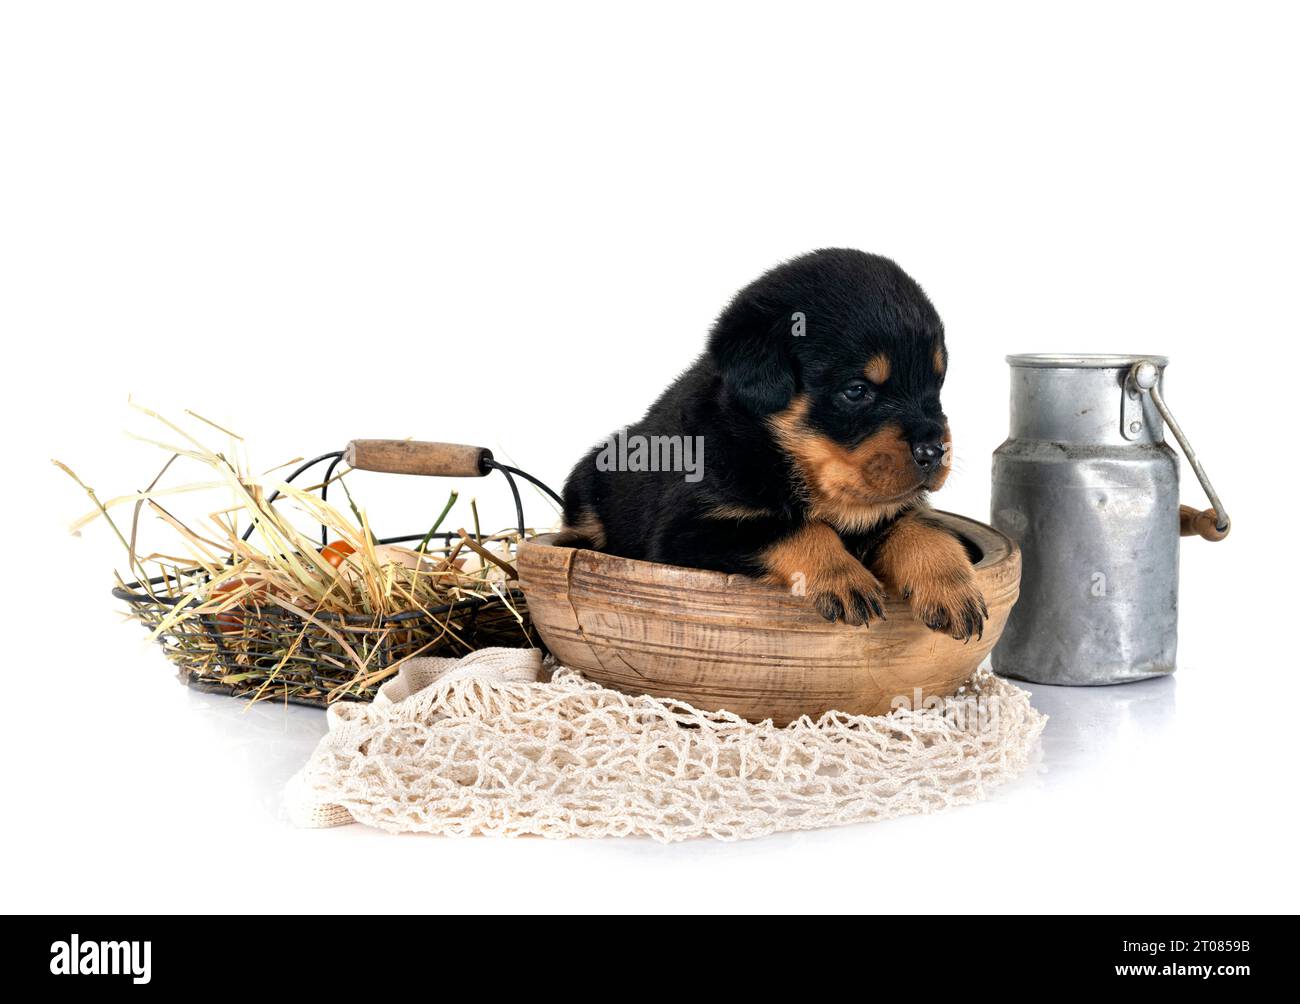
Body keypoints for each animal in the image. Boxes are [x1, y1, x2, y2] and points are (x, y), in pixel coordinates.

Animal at [556, 247, 982, 639]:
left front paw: (951, 584)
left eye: (936, 385)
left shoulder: (889, 508)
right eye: (856, 390)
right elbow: (795, 529)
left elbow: (921, 528)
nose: (934, 451)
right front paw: (842, 575)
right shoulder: (685, 532)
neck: (776, 451)